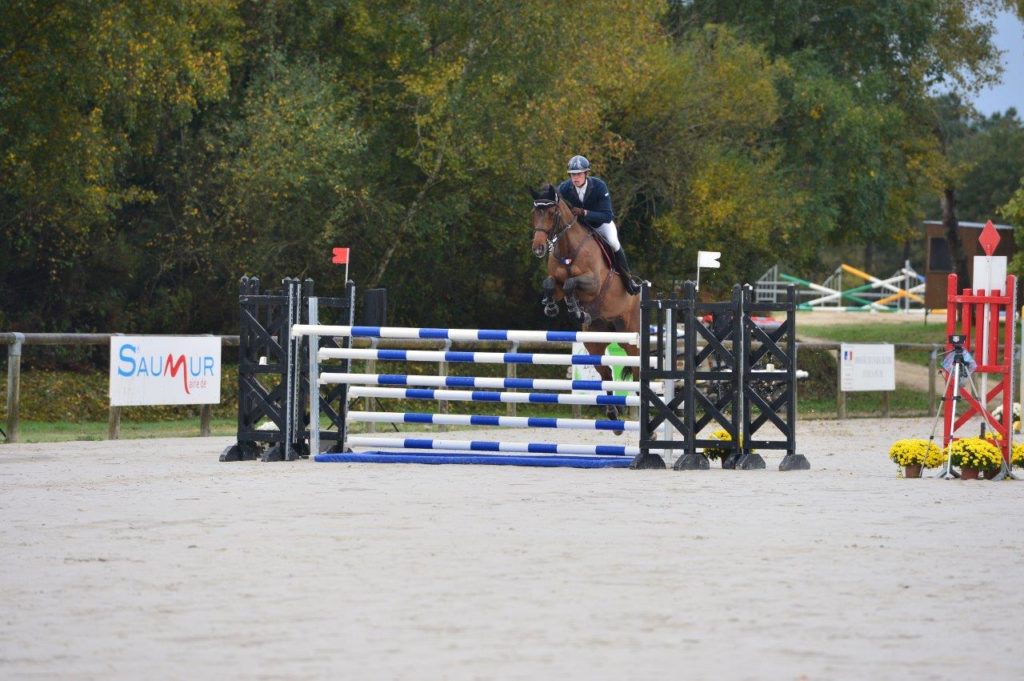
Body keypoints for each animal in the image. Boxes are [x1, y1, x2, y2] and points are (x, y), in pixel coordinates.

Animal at [532, 182, 643, 430]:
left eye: (551, 213)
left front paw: (575, 310)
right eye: (534, 212)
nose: (538, 248)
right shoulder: (556, 282)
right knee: (606, 374)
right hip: (594, 341)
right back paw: (613, 413)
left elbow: (572, 283)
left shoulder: (593, 283)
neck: (568, 249)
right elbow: (549, 283)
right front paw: (551, 307)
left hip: (631, 335)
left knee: (637, 370)